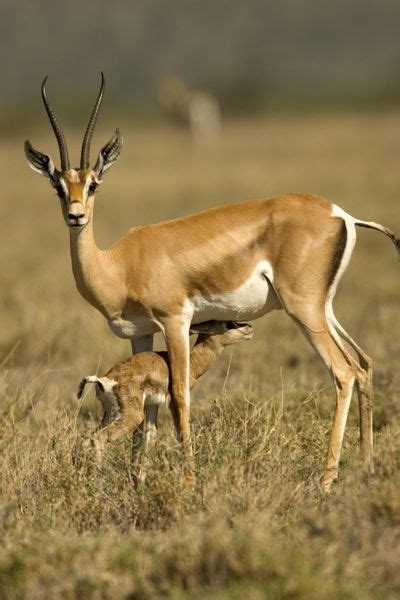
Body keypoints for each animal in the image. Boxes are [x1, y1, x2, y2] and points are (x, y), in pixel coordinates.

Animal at [77, 322, 252, 458]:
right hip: (132, 415)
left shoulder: (152, 405)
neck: (191, 363)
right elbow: (181, 433)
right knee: (100, 437)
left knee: (87, 439)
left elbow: (150, 438)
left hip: (109, 414)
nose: (249, 327)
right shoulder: (173, 403)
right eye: (228, 324)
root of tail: (105, 380)